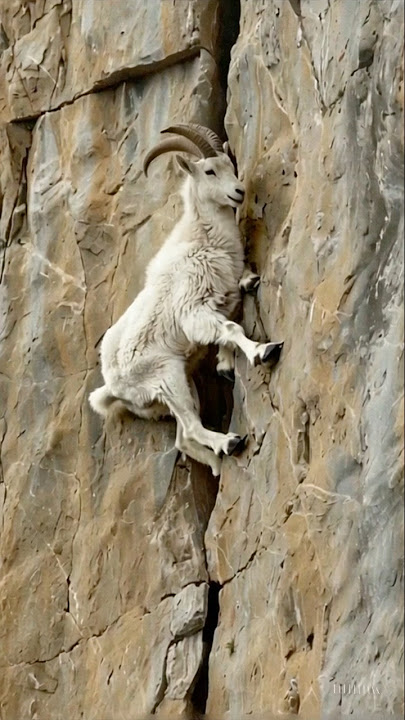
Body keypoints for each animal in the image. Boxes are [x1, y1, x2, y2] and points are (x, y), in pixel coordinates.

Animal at [89, 124, 282, 476]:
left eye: (229, 164)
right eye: (209, 171)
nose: (239, 192)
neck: (201, 236)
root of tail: (112, 386)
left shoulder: (221, 299)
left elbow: (231, 316)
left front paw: (224, 365)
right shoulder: (194, 311)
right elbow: (232, 329)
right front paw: (263, 351)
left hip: (179, 386)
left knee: (183, 437)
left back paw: (218, 461)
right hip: (168, 378)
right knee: (191, 428)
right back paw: (230, 442)